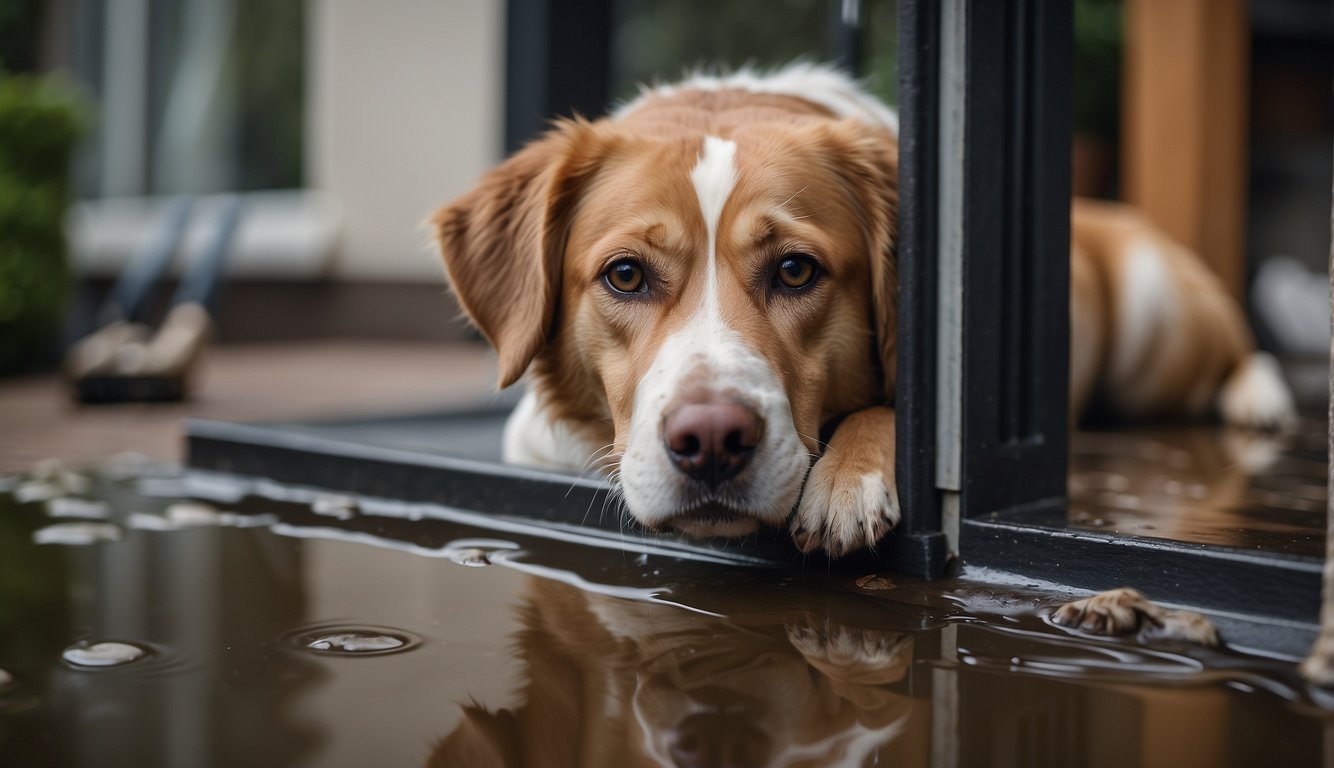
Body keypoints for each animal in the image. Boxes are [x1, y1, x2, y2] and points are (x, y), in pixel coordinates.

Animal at [432, 64, 1296, 557]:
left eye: (794, 269)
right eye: (624, 276)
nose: (710, 442)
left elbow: (905, 408)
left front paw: (847, 477)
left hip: (1160, 319)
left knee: (1237, 349)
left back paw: (1261, 400)